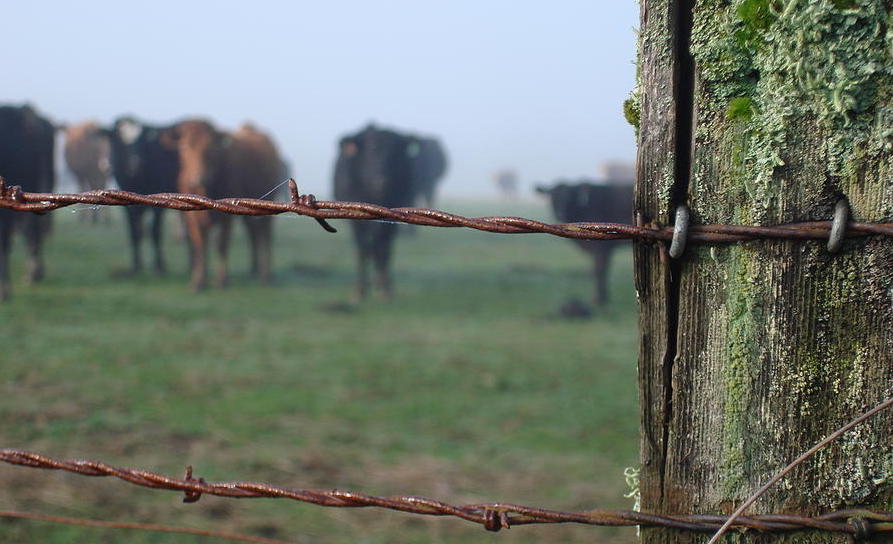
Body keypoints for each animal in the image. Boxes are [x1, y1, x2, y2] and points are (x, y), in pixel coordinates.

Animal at [105, 116, 179, 274]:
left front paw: (159, 266)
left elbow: (154, 231)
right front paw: (136, 266)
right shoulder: (128, 205)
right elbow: (135, 232)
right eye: (120, 140)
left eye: (142, 141)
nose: (135, 162)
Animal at [162, 119, 282, 288]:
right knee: (253, 234)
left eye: (211, 148)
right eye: (184, 146)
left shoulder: (227, 216)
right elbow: (200, 243)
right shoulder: (192, 217)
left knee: (265, 235)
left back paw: (265, 275)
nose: (198, 178)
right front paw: (199, 280)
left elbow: (221, 243)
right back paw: (254, 270)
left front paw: (221, 280)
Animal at [334, 124, 418, 302]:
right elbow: (363, 248)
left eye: (395, 153)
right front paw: (360, 290)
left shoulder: (393, 219)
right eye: (369, 152)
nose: (381, 182)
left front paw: (385, 288)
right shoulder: (355, 219)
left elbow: (384, 248)